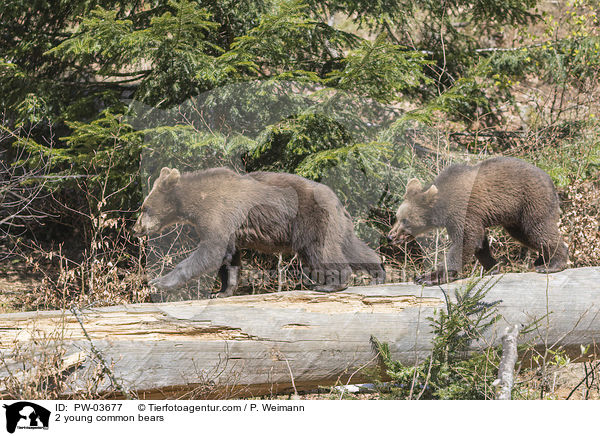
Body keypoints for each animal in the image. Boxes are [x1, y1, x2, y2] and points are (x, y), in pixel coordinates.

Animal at [132, 167, 384, 296]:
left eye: (144, 208)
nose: (136, 228)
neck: (195, 202)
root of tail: (337, 199)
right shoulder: (231, 229)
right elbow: (229, 258)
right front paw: (223, 291)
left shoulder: (219, 214)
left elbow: (210, 251)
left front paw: (159, 281)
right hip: (338, 225)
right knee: (351, 246)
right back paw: (378, 272)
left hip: (311, 221)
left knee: (322, 251)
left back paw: (329, 284)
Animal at [386, 157, 568, 286]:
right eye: (397, 217)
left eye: (406, 221)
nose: (390, 236)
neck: (443, 207)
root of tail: (551, 181)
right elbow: (479, 243)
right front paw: (493, 267)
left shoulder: (462, 211)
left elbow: (466, 240)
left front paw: (430, 277)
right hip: (516, 218)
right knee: (524, 235)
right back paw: (541, 260)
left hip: (530, 201)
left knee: (539, 229)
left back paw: (552, 264)